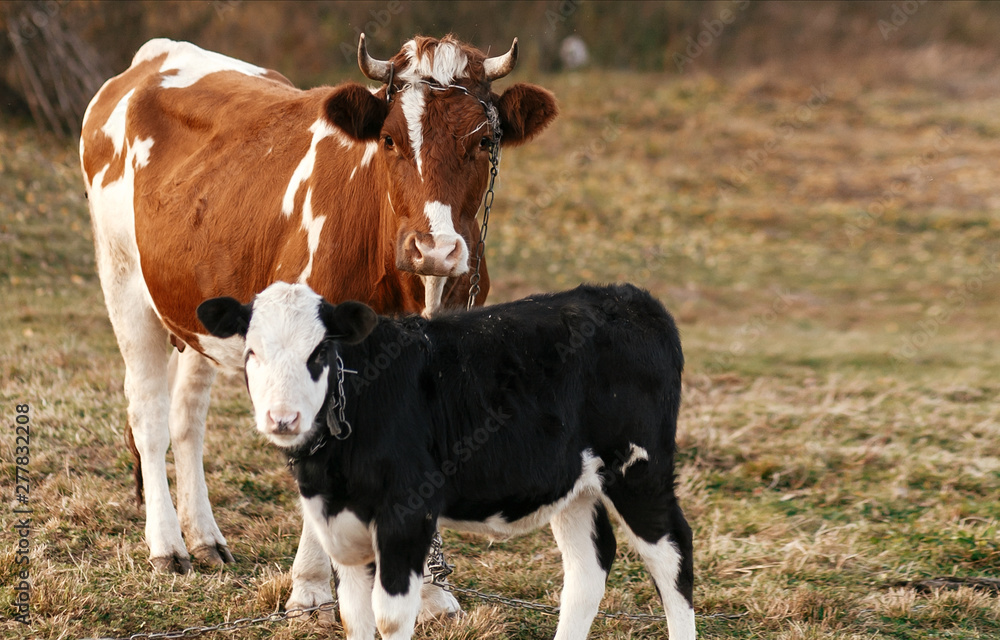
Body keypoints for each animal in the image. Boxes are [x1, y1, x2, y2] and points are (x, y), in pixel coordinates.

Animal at [82, 33, 560, 616]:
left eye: (486, 139)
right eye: (389, 140)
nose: (435, 249)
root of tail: (151, 56)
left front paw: (429, 590)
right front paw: (310, 588)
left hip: (199, 313)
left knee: (186, 417)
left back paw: (205, 538)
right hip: (124, 282)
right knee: (147, 415)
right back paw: (168, 547)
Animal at [197, 284, 696, 640]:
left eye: (319, 352)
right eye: (252, 352)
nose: (282, 418)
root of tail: (631, 298)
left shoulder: (407, 516)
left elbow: (390, 618)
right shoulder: (341, 527)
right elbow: (355, 619)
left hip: (639, 471)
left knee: (673, 554)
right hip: (574, 486)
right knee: (589, 566)